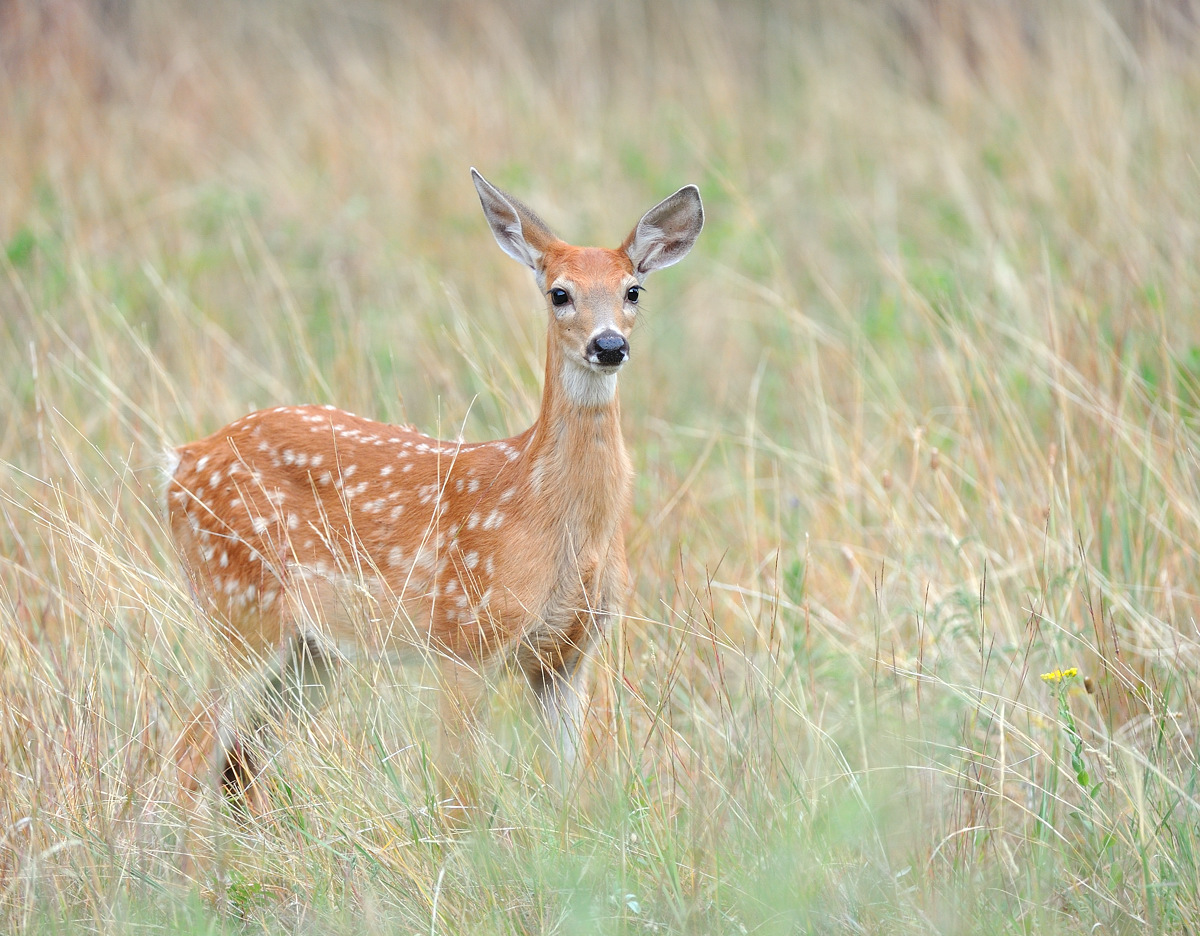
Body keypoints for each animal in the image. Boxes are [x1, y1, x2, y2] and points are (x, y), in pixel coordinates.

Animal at [166, 169, 704, 814]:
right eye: (559, 293)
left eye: (633, 291)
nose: (608, 346)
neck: (546, 508)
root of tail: (180, 463)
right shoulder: (464, 638)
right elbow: (458, 795)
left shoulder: (568, 657)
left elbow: (566, 790)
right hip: (238, 609)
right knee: (186, 756)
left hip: (311, 650)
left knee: (238, 765)